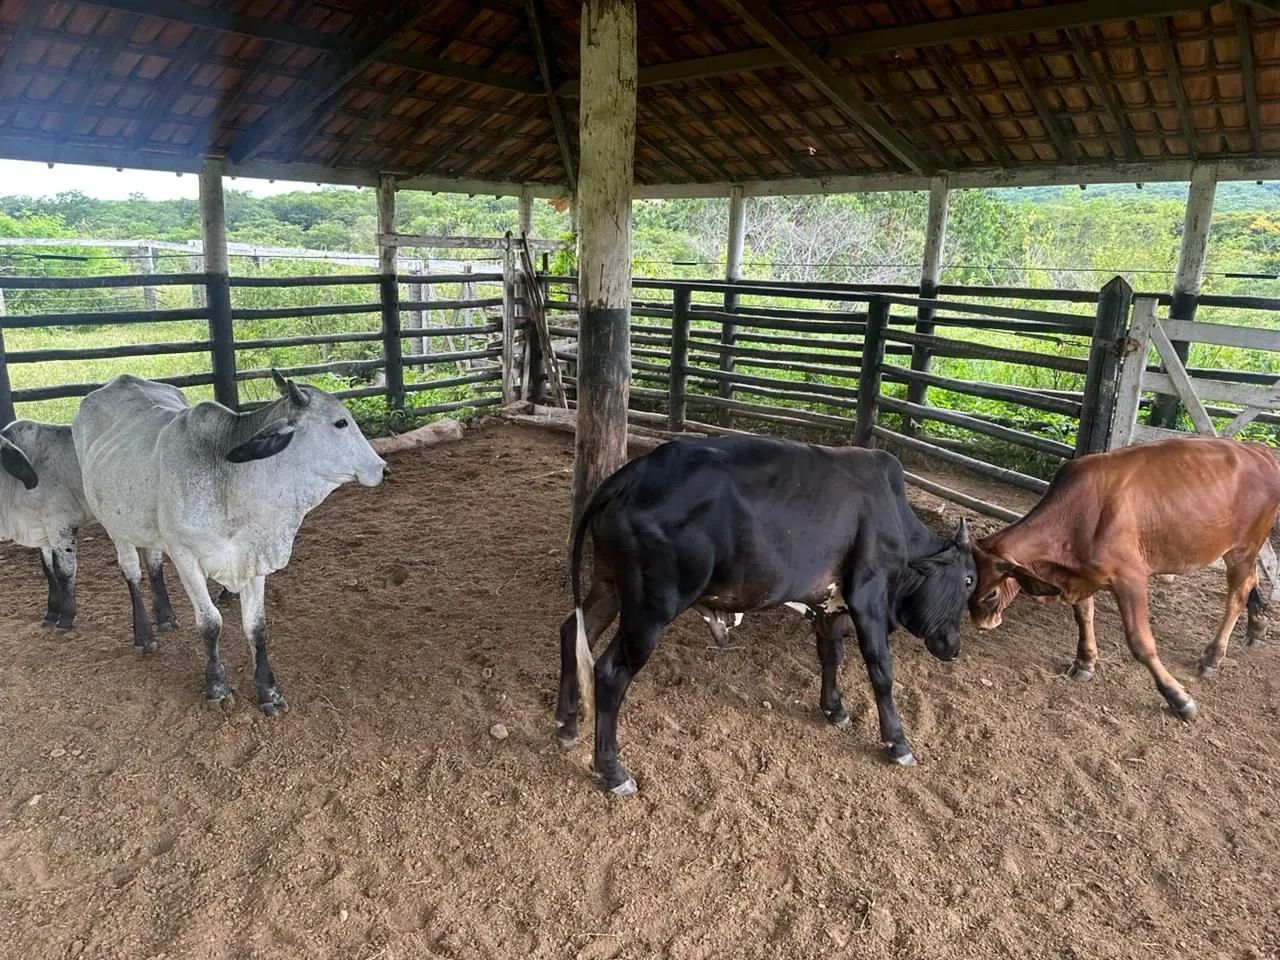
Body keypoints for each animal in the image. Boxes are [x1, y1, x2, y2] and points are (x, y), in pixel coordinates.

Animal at [1, 420, 176, 630]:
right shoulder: (42, 532)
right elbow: (48, 571)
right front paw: (51, 613)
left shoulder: (61, 526)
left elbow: (64, 571)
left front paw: (66, 617)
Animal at [72, 371, 387, 714]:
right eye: (340, 423)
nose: (383, 468)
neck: (229, 482)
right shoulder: (186, 558)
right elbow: (210, 623)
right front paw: (217, 686)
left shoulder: (253, 557)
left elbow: (256, 626)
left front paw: (268, 691)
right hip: (115, 526)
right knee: (131, 572)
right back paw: (143, 634)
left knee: (153, 561)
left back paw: (166, 616)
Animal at [554, 435, 976, 796]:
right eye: (969, 579)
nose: (954, 647)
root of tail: (634, 471)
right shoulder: (868, 594)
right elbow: (881, 670)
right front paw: (898, 742)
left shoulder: (828, 602)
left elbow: (831, 655)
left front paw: (834, 708)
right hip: (649, 608)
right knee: (609, 672)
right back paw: (612, 770)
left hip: (608, 584)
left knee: (574, 631)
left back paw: (565, 724)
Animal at [969, 436, 1280, 721]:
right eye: (969, 581)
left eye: (991, 593)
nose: (980, 622)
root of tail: (1259, 450)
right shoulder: (1081, 577)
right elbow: (1084, 616)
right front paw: (1085, 662)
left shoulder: (1131, 578)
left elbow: (1140, 643)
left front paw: (1179, 699)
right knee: (1251, 582)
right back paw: (1257, 628)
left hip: (1244, 547)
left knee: (1238, 594)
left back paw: (1213, 656)